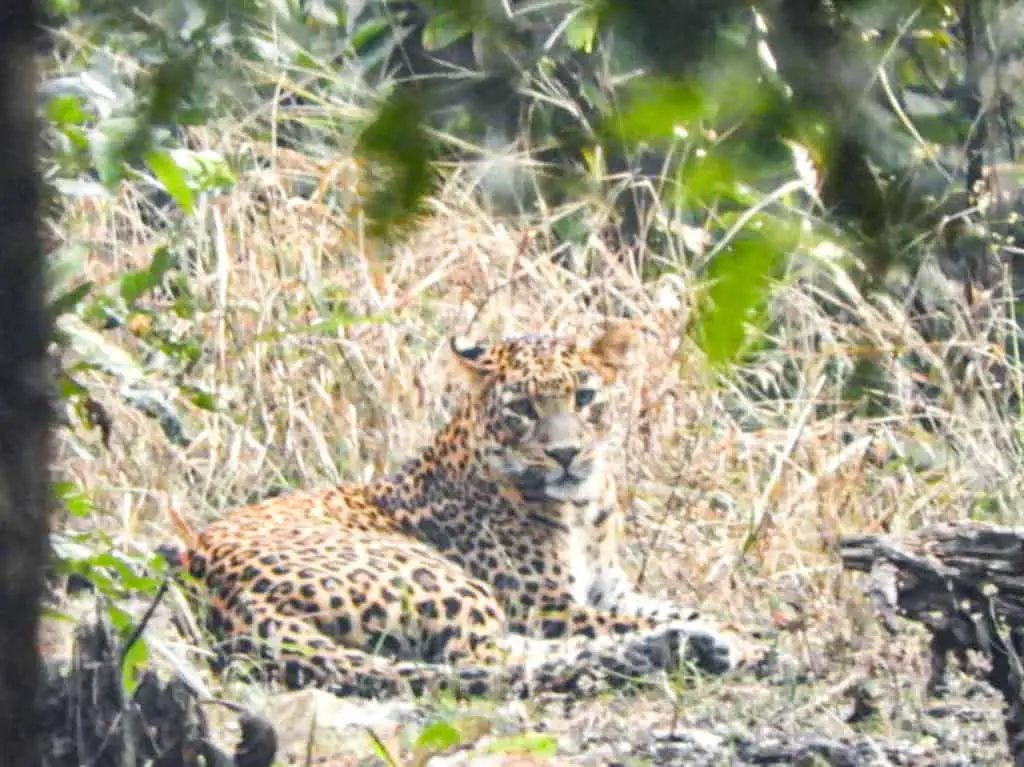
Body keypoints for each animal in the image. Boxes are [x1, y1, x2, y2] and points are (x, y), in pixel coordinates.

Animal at [161, 323, 753, 700]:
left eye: (584, 398)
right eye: (522, 408)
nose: (566, 453)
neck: (584, 510)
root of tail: (218, 582)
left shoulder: (609, 589)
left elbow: (671, 607)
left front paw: (720, 628)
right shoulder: (546, 606)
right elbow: (634, 619)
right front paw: (735, 637)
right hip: (445, 582)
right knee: (482, 660)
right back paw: (672, 651)